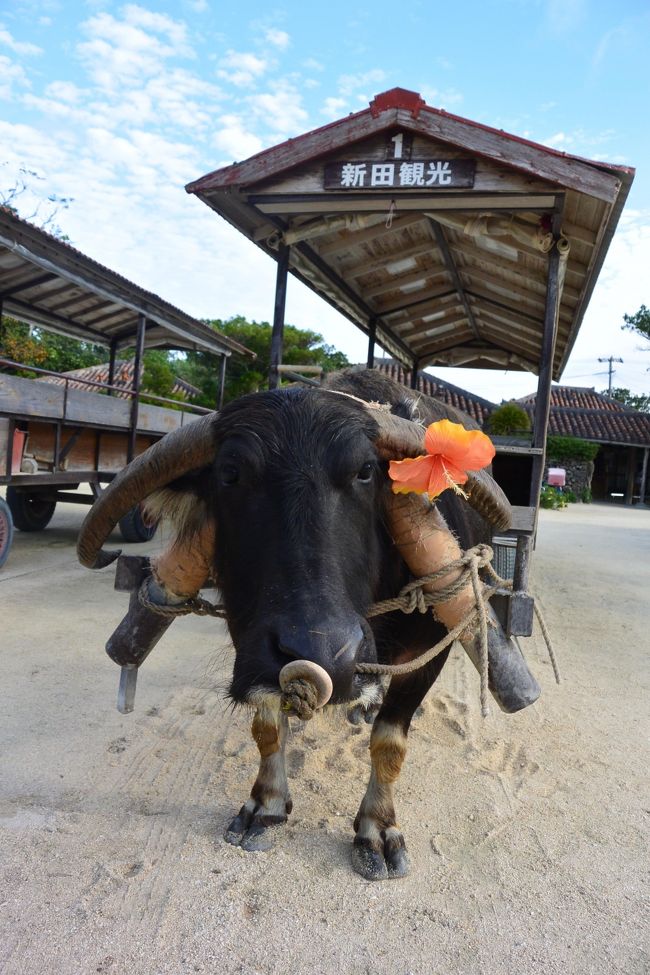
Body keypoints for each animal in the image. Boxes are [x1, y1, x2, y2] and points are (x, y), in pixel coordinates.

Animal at [77, 370, 536, 880]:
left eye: (365, 471)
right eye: (230, 474)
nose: (323, 656)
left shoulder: (430, 648)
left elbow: (389, 743)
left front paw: (377, 829)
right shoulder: (253, 646)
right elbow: (267, 729)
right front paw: (266, 805)